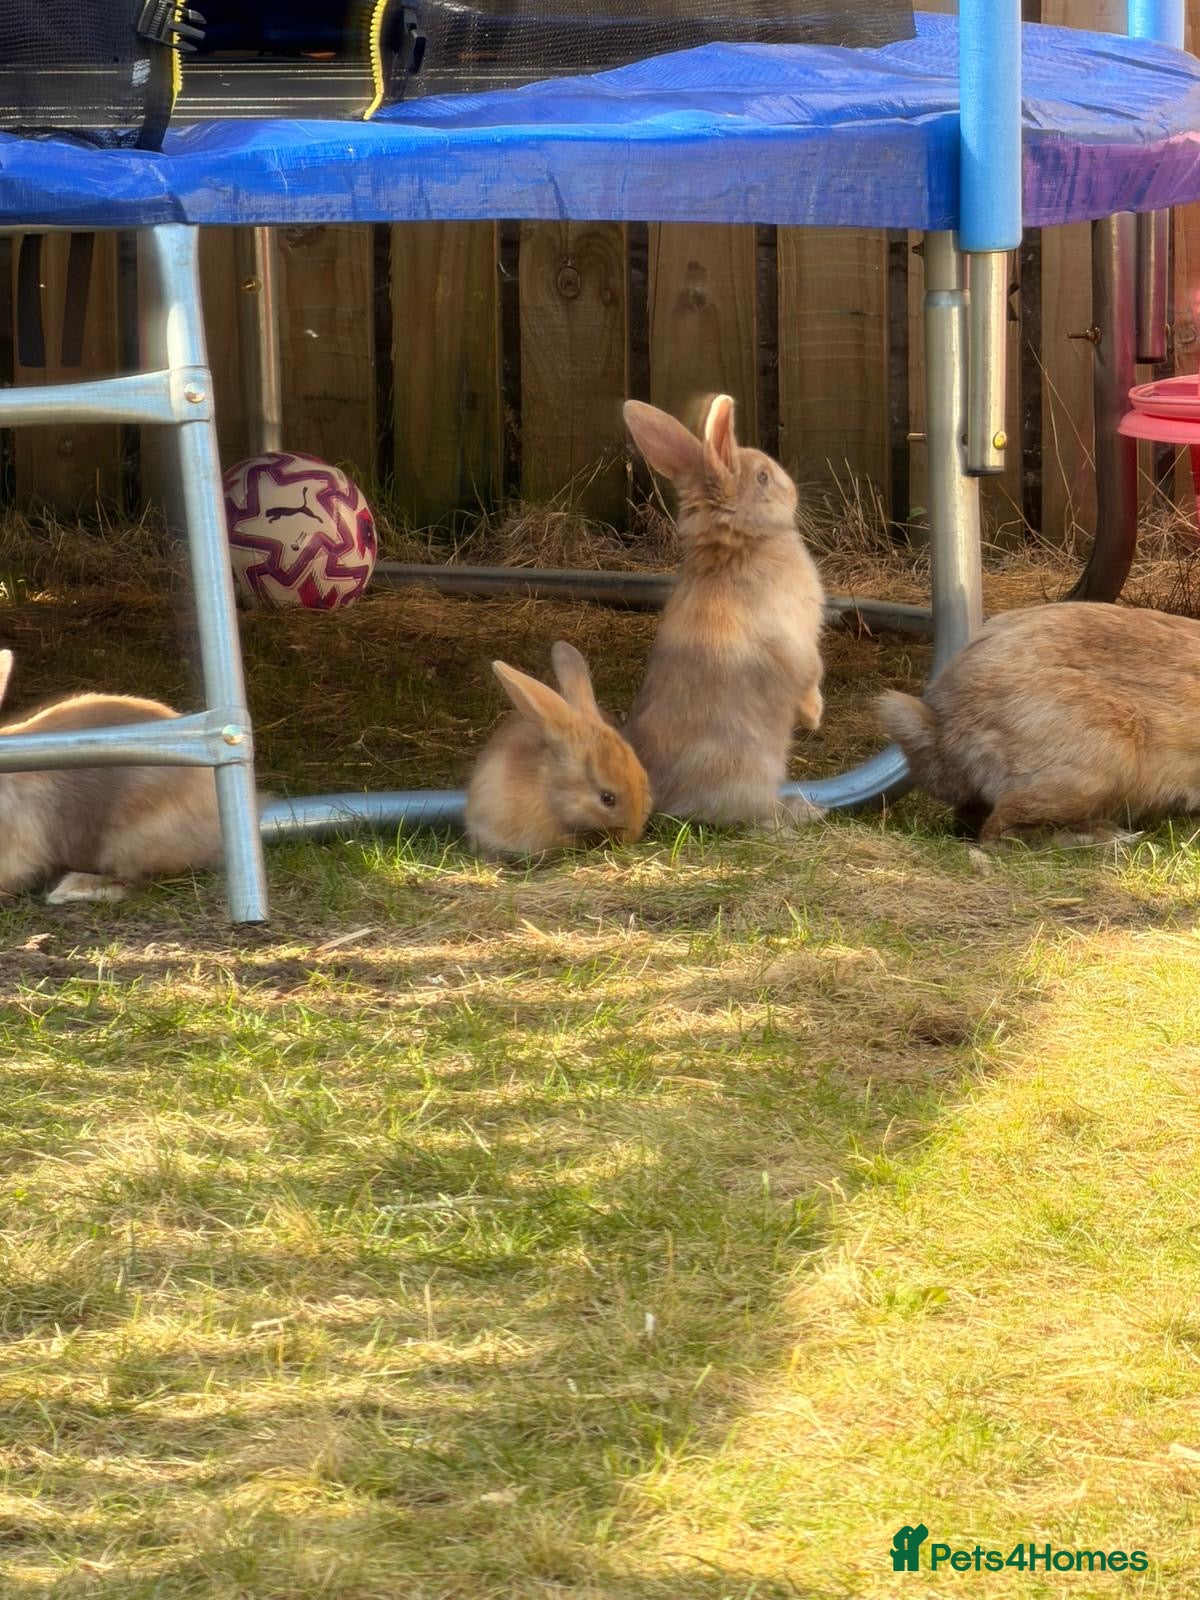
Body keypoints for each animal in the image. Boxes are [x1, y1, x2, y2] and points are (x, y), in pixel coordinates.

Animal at [622, 394, 825, 827]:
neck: (736, 545)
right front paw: (814, 718)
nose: (793, 490)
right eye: (763, 477)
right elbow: (811, 675)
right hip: (755, 771)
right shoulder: (800, 643)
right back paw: (803, 811)